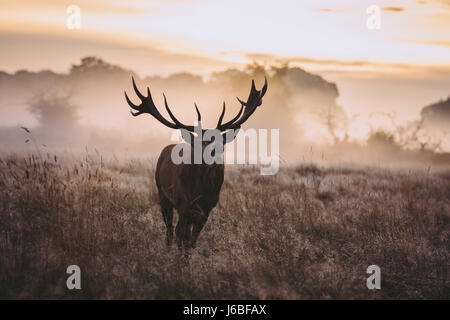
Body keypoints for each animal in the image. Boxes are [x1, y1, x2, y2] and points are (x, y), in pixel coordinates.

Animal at [125, 77, 268, 250]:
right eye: (200, 143)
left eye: (221, 143)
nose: (211, 154)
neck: (202, 190)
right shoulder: (183, 204)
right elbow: (183, 237)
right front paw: (181, 257)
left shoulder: (207, 209)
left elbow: (192, 241)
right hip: (162, 194)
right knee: (170, 230)